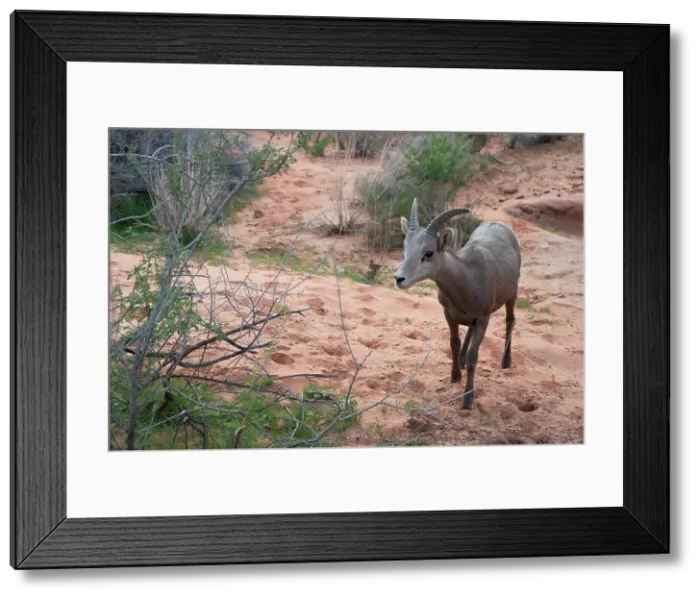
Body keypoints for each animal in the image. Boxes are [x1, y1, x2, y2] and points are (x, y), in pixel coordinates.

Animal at [393, 198, 522, 409]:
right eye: (405, 248)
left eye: (429, 253)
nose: (399, 278)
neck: (468, 277)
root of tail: (501, 225)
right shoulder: (449, 314)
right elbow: (454, 343)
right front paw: (455, 376)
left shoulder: (484, 318)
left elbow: (473, 356)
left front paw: (467, 400)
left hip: (512, 295)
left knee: (510, 320)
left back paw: (506, 362)